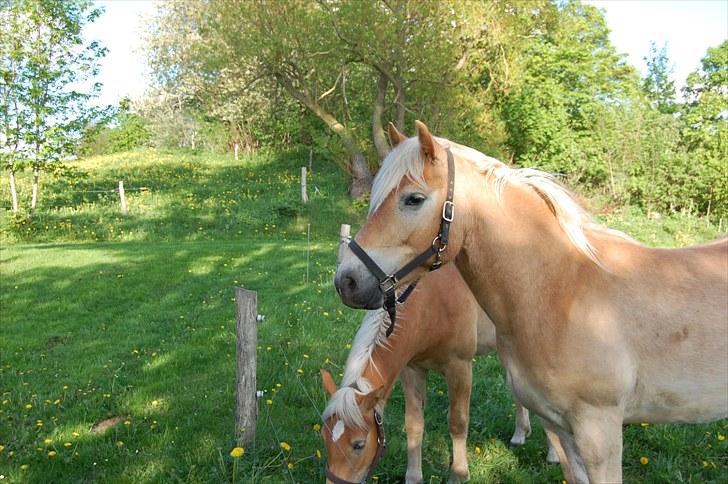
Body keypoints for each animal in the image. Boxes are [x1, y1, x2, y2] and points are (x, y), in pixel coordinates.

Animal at [320, 264, 556, 484]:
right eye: (324, 436)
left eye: (358, 444)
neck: (430, 303)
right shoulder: (412, 370)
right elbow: (414, 424)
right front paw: (413, 477)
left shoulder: (459, 368)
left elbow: (458, 423)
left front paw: (459, 473)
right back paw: (520, 434)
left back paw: (553, 453)